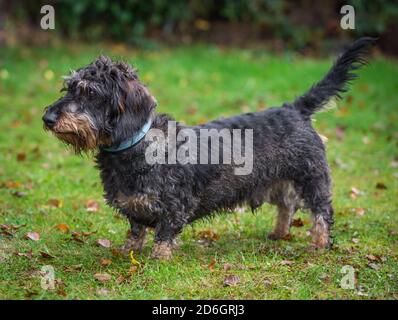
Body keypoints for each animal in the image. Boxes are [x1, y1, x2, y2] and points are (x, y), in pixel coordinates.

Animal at [42, 38, 374, 260]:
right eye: (68, 88)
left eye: (90, 92)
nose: (47, 119)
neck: (135, 147)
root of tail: (294, 109)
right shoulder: (134, 207)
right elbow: (136, 230)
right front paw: (128, 250)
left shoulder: (175, 206)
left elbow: (165, 233)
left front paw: (159, 257)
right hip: (278, 181)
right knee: (287, 205)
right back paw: (279, 232)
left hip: (312, 178)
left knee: (321, 212)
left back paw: (319, 243)